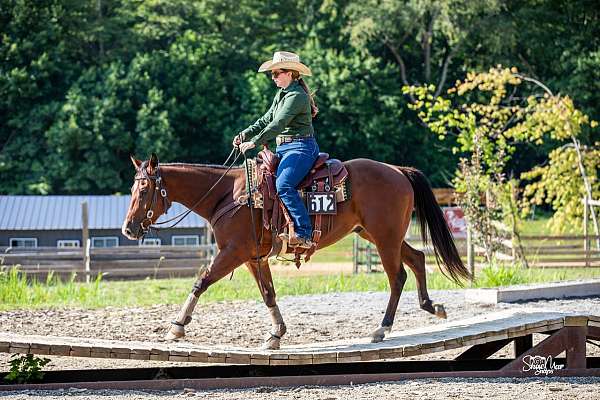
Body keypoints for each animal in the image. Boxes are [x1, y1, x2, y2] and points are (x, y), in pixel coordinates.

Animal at [122, 153, 468, 350]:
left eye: (144, 189)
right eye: (132, 188)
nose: (128, 228)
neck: (227, 195)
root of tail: (397, 170)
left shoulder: (233, 252)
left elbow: (201, 281)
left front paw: (177, 327)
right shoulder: (253, 258)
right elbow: (268, 294)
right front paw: (276, 333)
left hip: (385, 239)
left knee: (397, 277)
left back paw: (382, 328)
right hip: (379, 235)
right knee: (417, 259)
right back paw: (432, 306)